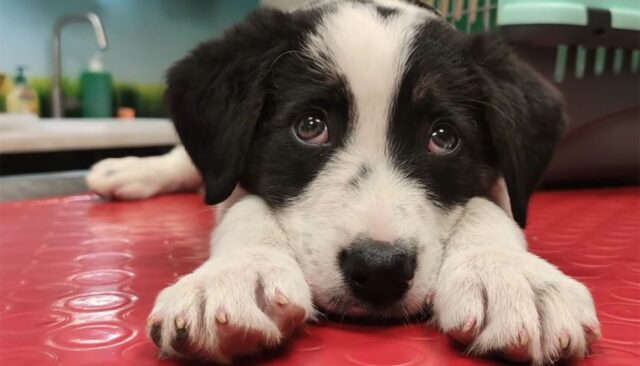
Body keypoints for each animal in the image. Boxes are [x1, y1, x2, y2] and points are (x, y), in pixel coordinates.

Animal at [86, 0, 600, 364]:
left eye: (442, 138)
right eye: (310, 126)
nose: (380, 270)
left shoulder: (496, 186)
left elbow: (488, 209)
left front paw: (512, 276)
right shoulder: (235, 183)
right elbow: (245, 208)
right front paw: (235, 274)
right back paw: (127, 171)